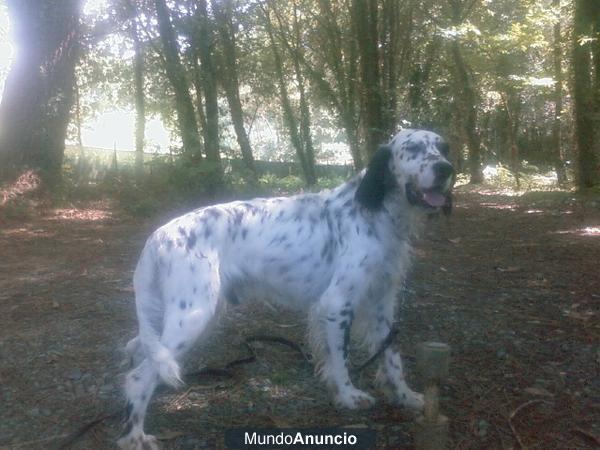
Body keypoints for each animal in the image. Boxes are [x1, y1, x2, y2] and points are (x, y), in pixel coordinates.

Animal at [117, 128, 454, 448]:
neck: (376, 211)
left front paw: (406, 397)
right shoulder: (336, 304)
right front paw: (348, 396)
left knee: (138, 350)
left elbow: (391, 358)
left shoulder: (382, 304)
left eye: (443, 148)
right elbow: (341, 359)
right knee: (137, 377)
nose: (446, 169)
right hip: (193, 317)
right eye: (413, 148)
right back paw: (135, 437)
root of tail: (159, 235)